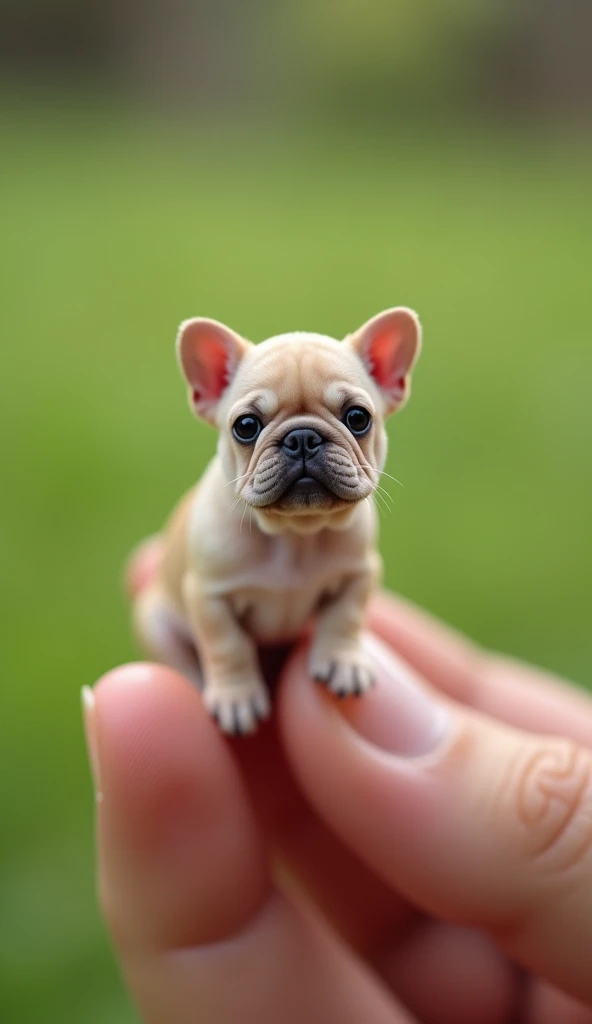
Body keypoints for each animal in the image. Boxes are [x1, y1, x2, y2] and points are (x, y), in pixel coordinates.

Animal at [133, 307, 419, 733]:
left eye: (358, 418)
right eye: (246, 426)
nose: (302, 437)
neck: (294, 533)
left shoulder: (359, 573)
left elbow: (345, 617)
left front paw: (342, 662)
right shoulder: (208, 595)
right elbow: (227, 644)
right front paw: (237, 698)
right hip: (155, 620)